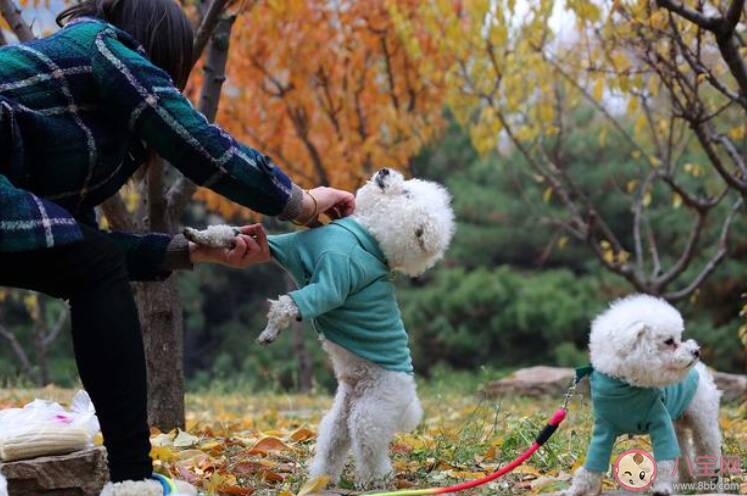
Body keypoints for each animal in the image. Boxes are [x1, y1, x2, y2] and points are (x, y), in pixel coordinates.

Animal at [187, 169, 456, 486]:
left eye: (406, 195)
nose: (385, 172)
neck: (368, 234)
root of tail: (410, 395)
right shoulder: (287, 247)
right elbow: (235, 234)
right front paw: (200, 236)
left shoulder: (333, 280)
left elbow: (289, 304)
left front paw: (270, 331)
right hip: (345, 408)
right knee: (335, 441)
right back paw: (321, 479)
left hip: (373, 410)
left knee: (370, 447)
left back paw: (375, 481)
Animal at [568, 294, 724, 496]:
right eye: (669, 341)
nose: (696, 351)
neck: (626, 387)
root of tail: (700, 370)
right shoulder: (604, 428)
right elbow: (593, 462)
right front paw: (577, 489)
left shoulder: (660, 421)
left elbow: (665, 460)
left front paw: (662, 487)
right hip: (677, 423)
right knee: (682, 451)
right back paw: (685, 481)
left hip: (702, 419)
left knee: (708, 446)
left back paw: (710, 483)